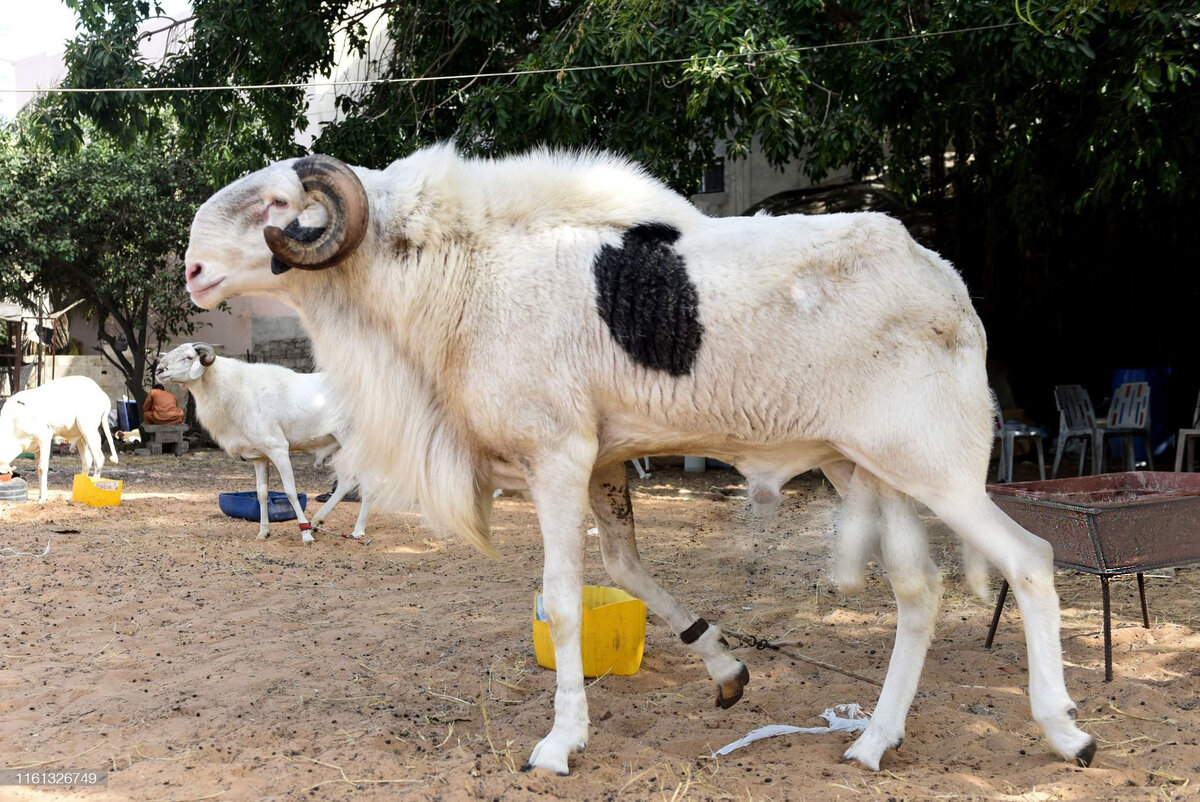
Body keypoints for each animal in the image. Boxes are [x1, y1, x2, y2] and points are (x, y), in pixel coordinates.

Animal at [156, 340, 369, 542]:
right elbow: (261, 494)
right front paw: (263, 533)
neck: (235, 389)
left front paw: (305, 534)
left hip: (356, 443)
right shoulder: (260, 457)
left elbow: (290, 491)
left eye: (189, 357)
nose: (159, 370)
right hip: (340, 447)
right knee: (346, 483)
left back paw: (356, 531)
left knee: (366, 484)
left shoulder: (278, 449)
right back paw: (317, 521)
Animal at [180, 145, 1099, 777]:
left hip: (939, 469)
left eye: (277, 204)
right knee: (919, 593)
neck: (456, 267)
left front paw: (560, 743)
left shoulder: (557, 457)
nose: (189, 271)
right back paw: (874, 741)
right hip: (870, 470)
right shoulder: (602, 464)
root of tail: (949, 284)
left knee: (1030, 559)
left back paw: (1067, 731)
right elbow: (625, 568)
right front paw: (725, 668)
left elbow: (562, 602)